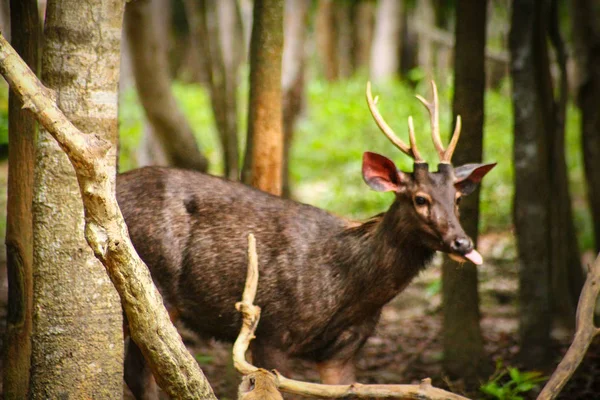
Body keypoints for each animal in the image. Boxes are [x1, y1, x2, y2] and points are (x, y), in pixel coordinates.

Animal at [118, 80, 496, 396]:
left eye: (457, 198)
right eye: (420, 198)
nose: (463, 243)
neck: (349, 289)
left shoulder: (342, 351)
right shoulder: (271, 332)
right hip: (152, 288)